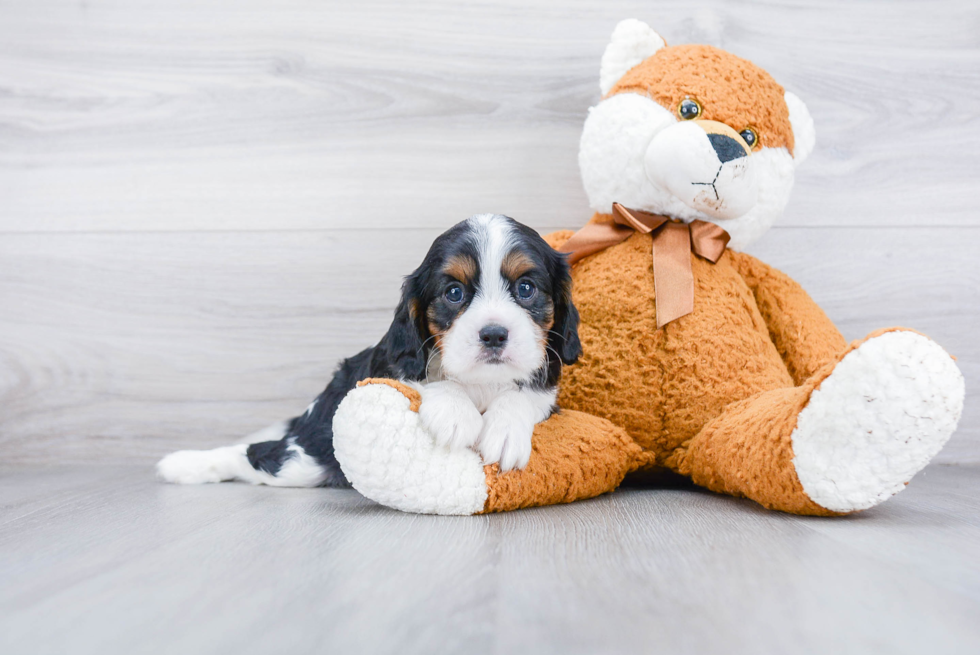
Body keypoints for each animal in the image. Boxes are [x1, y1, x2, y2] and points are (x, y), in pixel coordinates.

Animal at [156, 214, 580, 486]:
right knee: (256, 455)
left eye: (526, 288)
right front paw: (455, 411)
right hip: (301, 461)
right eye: (453, 293)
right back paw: (184, 465)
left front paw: (505, 429)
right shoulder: (386, 364)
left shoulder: (547, 377)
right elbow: (418, 375)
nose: (493, 335)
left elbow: (528, 394)